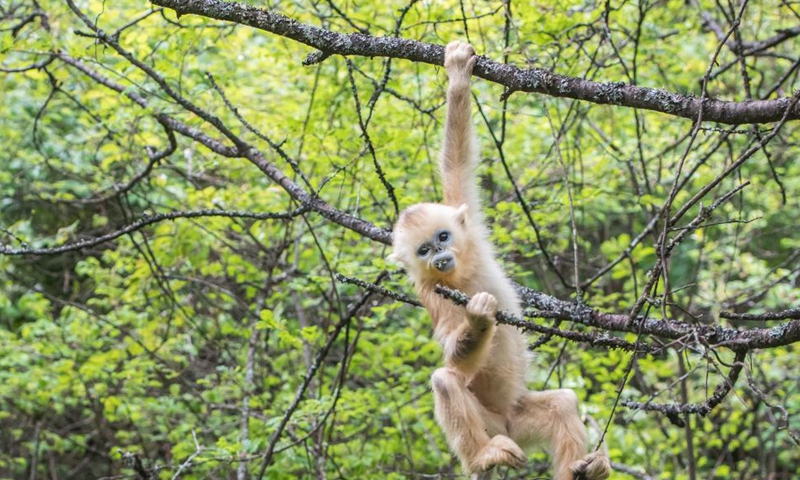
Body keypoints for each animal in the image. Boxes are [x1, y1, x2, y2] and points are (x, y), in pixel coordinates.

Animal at [392, 42, 612, 480]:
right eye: (423, 251)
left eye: (443, 237)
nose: (439, 257)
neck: (462, 275)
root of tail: (505, 425)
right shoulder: (431, 292)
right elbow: (452, 353)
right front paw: (479, 319)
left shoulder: (470, 225)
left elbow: (457, 161)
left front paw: (458, 75)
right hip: (491, 425)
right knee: (445, 380)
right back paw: (483, 457)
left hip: (522, 419)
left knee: (563, 404)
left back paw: (584, 467)